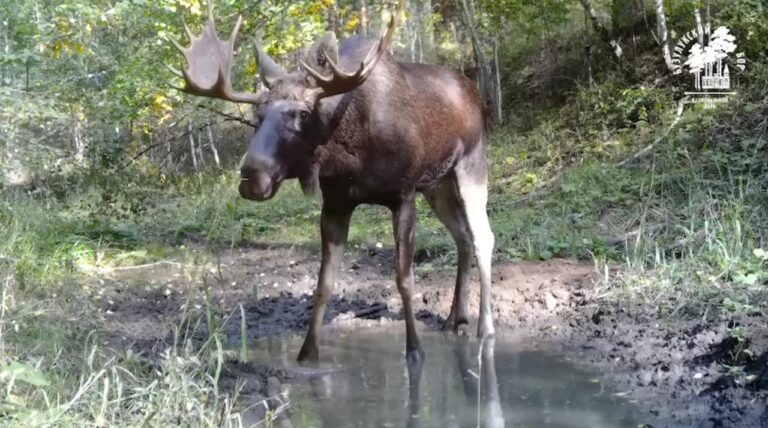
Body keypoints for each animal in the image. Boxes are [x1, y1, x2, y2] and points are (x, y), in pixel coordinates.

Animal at [170, 2, 496, 364]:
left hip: (470, 164)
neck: (349, 153)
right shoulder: (336, 203)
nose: (252, 177)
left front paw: (414, 350)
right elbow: (323, 283)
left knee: (483, 237)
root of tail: (477, 94)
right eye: (258, 116)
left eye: (302, 113)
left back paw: (484, 327)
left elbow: (404, 279)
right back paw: (455, 318)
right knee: (462, 237)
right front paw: (307, 353)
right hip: (437, 185)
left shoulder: (403, 195)